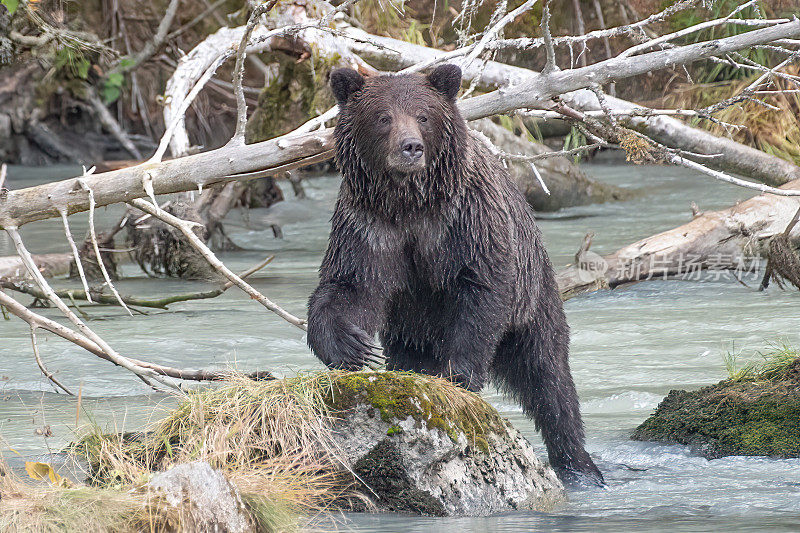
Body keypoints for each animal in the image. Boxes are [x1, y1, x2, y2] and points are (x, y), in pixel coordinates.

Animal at [306, 64, 600, 484]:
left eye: (424, 116)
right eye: (383, 117)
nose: (410, 147)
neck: (411, 202)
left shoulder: (467, 220)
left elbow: (480, 290)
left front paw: (459, 374)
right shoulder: (370, 226)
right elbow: (352, 285)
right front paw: (350, 345)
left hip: (534, 298)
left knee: (549, 378)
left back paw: (580, 466)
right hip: (410, 327)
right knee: (410, 353)